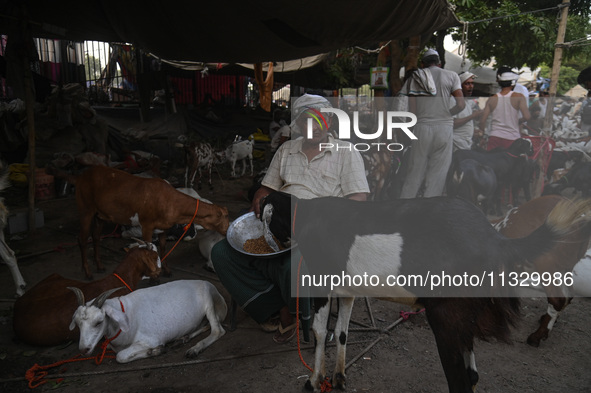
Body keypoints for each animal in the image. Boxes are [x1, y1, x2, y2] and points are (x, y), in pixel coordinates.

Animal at [50, 165, 229, 278]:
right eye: (225, 218)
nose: (228, 231)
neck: (170, 200)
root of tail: (80, 176)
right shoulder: (147, 225)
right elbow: (150, 249)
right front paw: (155, 277)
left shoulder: (163, 227)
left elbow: (163, 248)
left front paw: (166, 270)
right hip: (85, 210)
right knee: (82, 239)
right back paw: (88, 273)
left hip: (99, 215)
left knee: (95, 237)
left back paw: (100, 266)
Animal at [68, 278, 228, 362]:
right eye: (78, 324)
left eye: (99, 322)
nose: (83, 350)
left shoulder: (151, 339)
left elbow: (120, 356)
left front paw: (156, 350)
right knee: (204, 326)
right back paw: (182, 339)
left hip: (208, 301)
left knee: (217, 330)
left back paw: (194, 349)